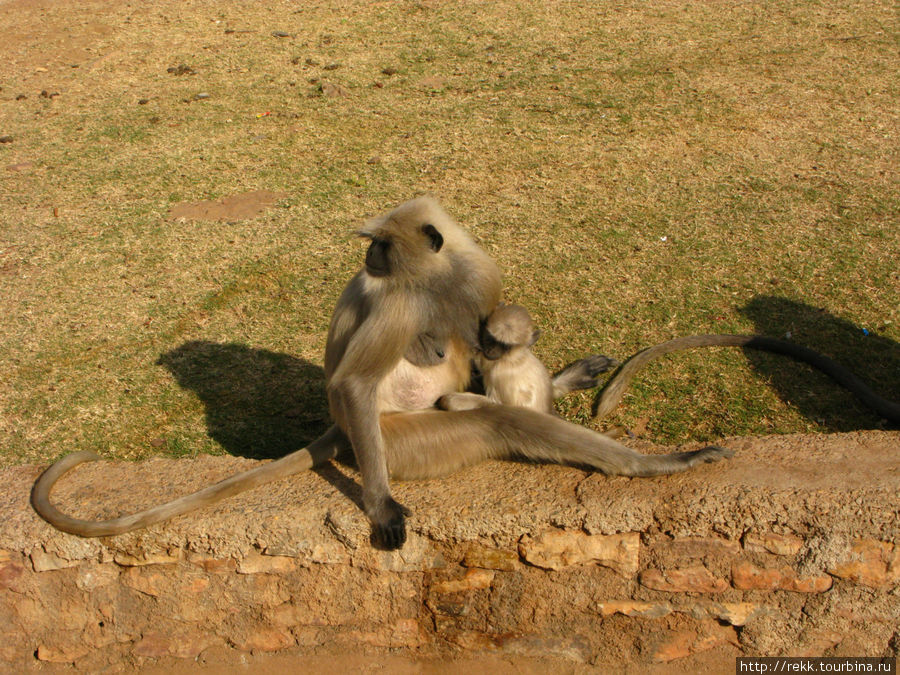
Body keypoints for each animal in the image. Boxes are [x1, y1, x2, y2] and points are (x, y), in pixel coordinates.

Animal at [35, 195, 740, 548]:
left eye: (380, 241)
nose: (370, 255)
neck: (435, 278)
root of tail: (344, 433)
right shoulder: (399, 299)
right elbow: (356, 379)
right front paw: (378, 507)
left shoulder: (477, 278)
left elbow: (490, 347)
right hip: (399, 439)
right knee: (490, 419)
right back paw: (657, 465)